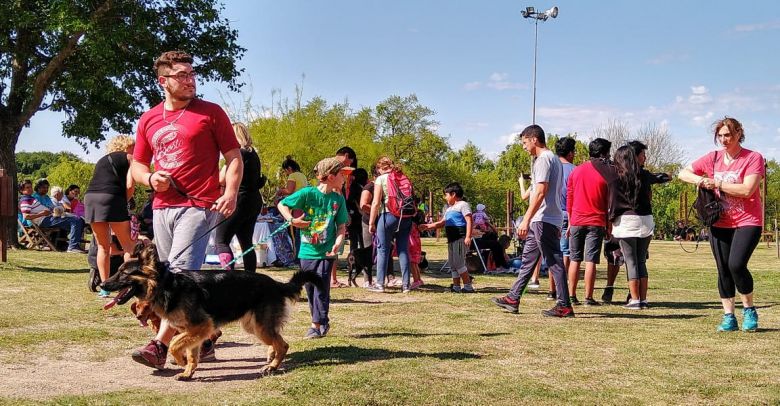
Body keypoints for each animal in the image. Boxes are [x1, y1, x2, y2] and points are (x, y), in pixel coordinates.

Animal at [101, 243, 322, 380]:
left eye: (123, 273)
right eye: (117, 270)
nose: (102, 285)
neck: (168, 286)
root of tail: (276, 284)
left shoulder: (201, 326)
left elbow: (174, 343)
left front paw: (180, 361)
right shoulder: (193, 331)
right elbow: (191, 353)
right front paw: (188, 371)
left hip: (259, 327)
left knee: (283, 344)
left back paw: (272, 366)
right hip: (254, 326)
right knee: (276, 340)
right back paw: (270, 356)